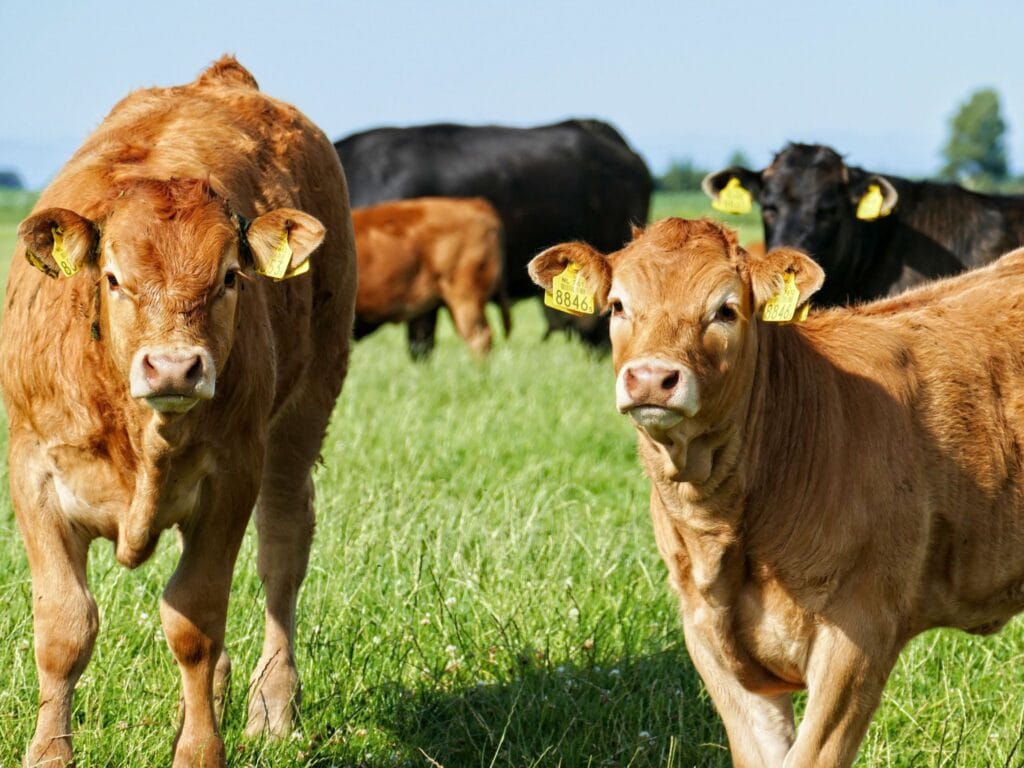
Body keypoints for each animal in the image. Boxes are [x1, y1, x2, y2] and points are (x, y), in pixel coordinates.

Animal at [0, 57, 358, 765]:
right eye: (113, 278)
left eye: (229, 277)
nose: (173, 367)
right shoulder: (32, 471)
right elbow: (63, 626)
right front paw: (49, 752)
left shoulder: (232, 474)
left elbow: (195, 620)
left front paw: (199, 750)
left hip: (306, 409)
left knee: (281, 549)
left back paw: (272, 705)